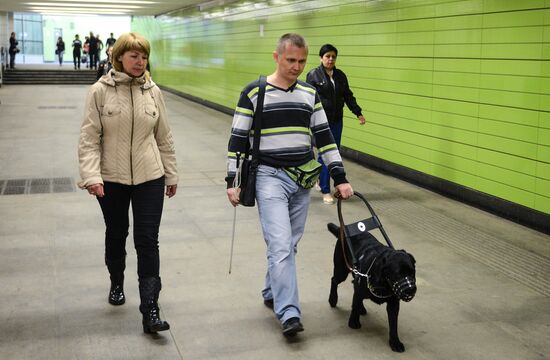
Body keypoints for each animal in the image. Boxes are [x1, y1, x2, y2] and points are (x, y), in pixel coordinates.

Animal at [330, 222, 416, 352]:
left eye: (412, 272)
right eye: (398, 274)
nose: (410, 289)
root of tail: (342, 230)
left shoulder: (393, 304)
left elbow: (393, 324)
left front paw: (395, 342)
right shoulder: (359, 287)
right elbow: (354, 305)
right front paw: (353, 322)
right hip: (341, 270)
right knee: (334, 281)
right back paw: (333, 299)